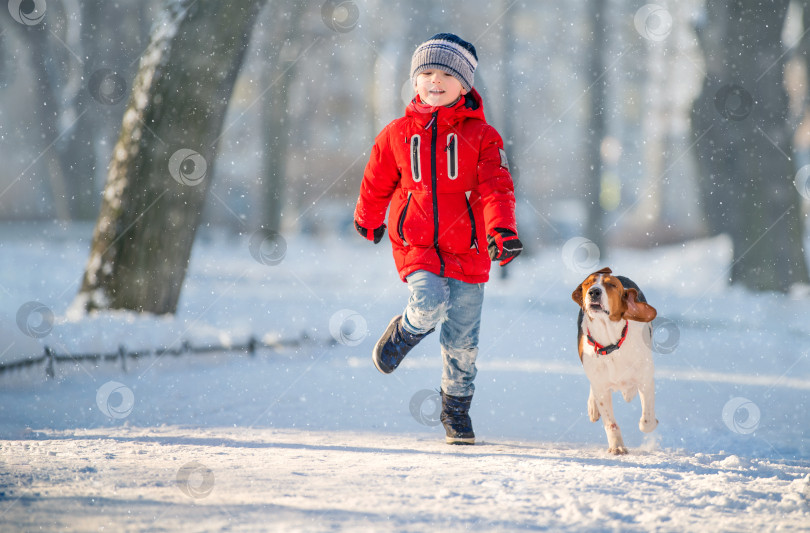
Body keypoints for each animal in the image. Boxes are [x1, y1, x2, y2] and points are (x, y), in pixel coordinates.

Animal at [568, 266, 656, 454]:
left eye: (612, 286)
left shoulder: (645, 378)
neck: (611, 344)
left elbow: (647, 423)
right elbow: (610, 423)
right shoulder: (601, 386)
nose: (594, 292)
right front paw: (617, 446)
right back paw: (593, 408)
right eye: (588, 283)